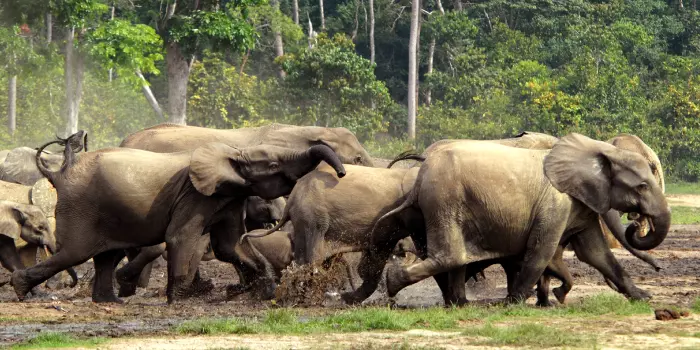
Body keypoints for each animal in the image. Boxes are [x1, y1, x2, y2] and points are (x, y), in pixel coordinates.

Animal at [11, 131, 348, 304]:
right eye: (275, 164)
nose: (343, 173)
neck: (232, 152)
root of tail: (59, 173)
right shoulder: (195, 195)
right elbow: (181, 237)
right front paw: (182, 301)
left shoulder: (227, 198)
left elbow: (230, 246)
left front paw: (264, 291)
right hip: (80, 208)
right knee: (74, 252)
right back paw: (20, 290)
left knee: (106, 255)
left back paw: (111, 302)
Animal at [374, 134, 668, 306]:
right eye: (642, 186)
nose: (636, 224)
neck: (597, 148)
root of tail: (419, 174)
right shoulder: (555, 201)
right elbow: (542, 249)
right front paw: (515, 303)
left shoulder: (579, 204)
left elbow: (595, 253)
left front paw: (643, 297)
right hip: (443, 201)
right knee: (451, 255)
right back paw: (395, 283)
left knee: (453, 258)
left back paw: (459, 304)